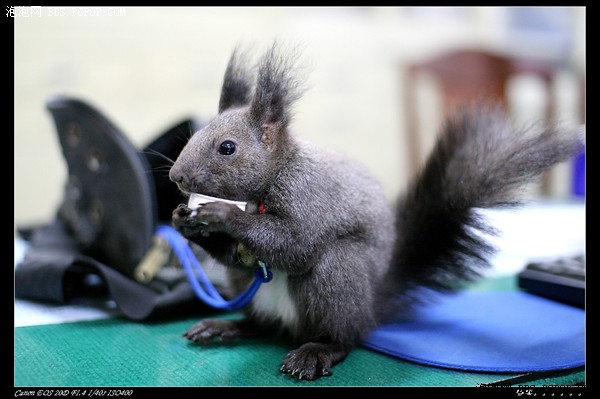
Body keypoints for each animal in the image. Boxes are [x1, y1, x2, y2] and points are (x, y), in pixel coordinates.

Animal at [168, 42, 580, 380]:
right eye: (193, 136)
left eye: (227, 147)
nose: (176, 177)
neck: (269, 183)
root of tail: (371, 307)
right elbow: (239, 257)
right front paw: (181, 220)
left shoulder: (309, 195)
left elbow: (296, 245)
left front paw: (222, 215)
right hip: (249, 291)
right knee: (264, 324)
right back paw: (227, 326)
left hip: (340, 274)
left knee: (343, 332)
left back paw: (318, 350)